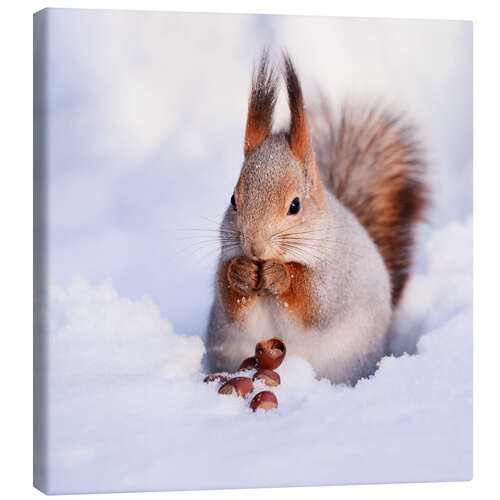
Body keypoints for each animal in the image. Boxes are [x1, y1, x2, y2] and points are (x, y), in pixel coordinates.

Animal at [203, 52, 426, 384]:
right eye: (233, 200)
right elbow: (229, 301)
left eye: (295, 205)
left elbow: (313, 306)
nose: (255, 248)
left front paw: (281, 276)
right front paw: (240, 272)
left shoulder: (336, 278)